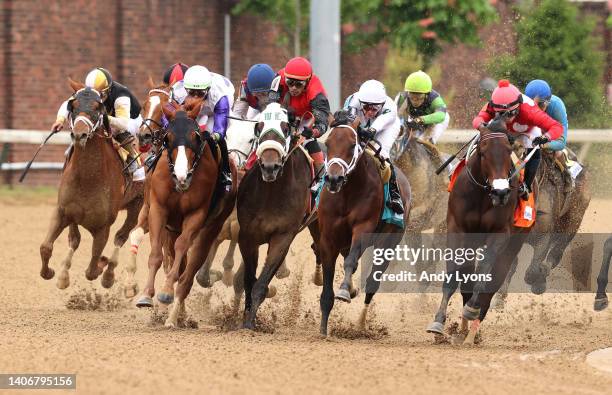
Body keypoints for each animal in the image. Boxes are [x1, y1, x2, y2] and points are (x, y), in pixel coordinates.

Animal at [39, 82, 143, 290]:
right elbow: (46, 247)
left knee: (121, 236)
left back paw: (110, 275)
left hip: (138, 203)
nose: (80, 134)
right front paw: (51, 273)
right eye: (72, 105)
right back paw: (64, 275)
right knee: (75, 240)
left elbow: (93, 266)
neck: (88, 178)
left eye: (97, 108)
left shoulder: (103, 226)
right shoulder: (63, 212)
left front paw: (104, 266)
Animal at [137, 98, 235, 328]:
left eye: (195, 136)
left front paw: (165, 292)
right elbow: (155, 254)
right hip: (171, 229)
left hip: (209, 230)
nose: (182, 176)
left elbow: (183, 247)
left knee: (187, 276)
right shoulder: (158, 209)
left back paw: (174, 317)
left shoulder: (196, 215)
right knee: (178, 265)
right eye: (168, 138)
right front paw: (146, 295)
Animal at [237, 103, 318, 332]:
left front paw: (250, 324)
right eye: (259, 126)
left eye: (286, 127)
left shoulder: (283, 237)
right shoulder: (247, 236)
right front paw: (244, 319)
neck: (271, 193)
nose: (269, 166)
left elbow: (260, 284)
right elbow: (249, 280)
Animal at [316, 113, 412, 338]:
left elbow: (351, 262)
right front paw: (323, 328)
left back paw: (360, 323)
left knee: (372, 283)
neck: (347, 193)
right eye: (328, 143)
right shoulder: (328, 239)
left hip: (388, 244)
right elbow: (327, 283)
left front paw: (344, 290)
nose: (333, 179)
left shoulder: (363, 228)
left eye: (352, 145)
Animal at [426, 125, 532, 344]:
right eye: (483, 152)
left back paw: (472, 328)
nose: (501, 193)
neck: (483, 195)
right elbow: (454, 273)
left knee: (495, 279)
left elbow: (485, 270)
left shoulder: (500, 233)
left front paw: (472, 309)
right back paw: (464, 330)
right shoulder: (457, 228)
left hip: (513, 246)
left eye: (508, 151)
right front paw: (438, 321)